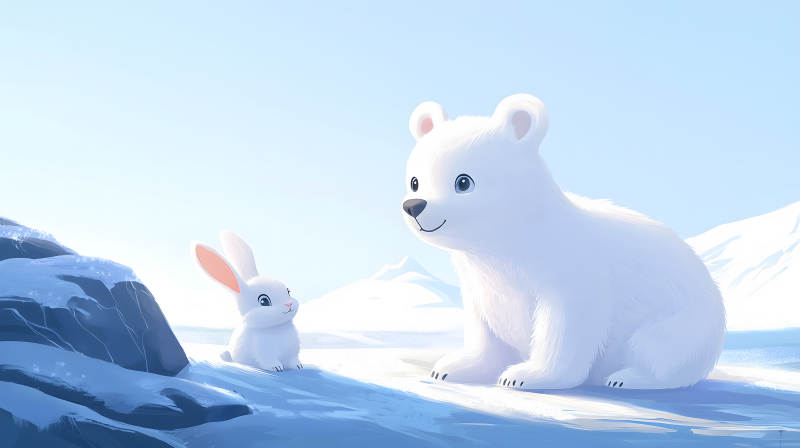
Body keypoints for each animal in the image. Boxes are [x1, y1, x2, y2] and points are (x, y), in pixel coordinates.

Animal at [401, 94, 725, 390]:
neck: (511, 240)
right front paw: (452, 367)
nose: (414, 205)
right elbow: (485, 326)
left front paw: (523, 375)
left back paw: (625, 377)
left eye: (463, 181)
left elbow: (566, 323)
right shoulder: (479, 280)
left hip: (678, 321)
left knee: (657, 349)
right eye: (415, 181)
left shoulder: (567, 267)